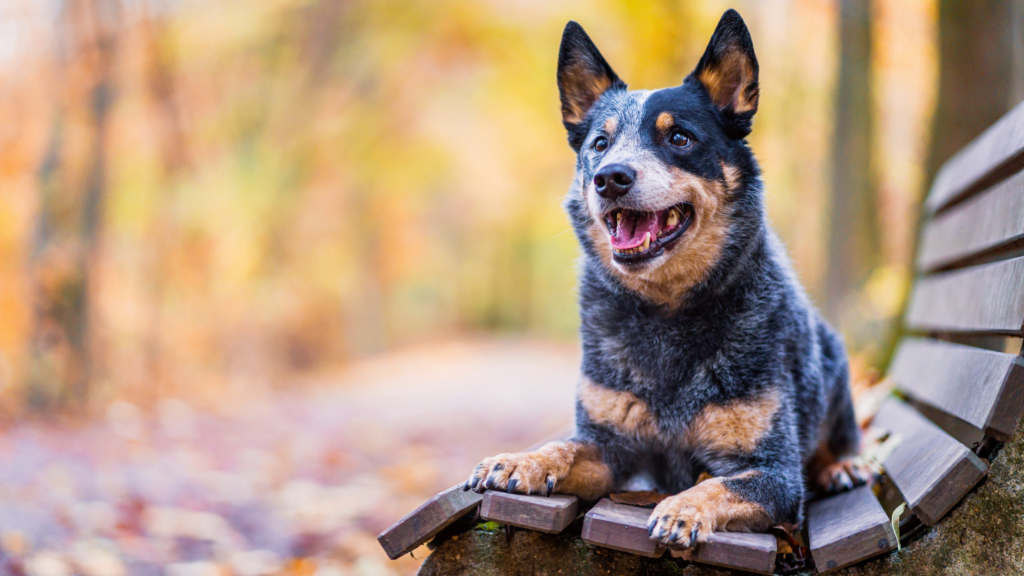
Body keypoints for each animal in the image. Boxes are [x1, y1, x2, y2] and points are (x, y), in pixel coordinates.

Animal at [466, 8, 872, 545]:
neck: (666, 311)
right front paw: (521, 460)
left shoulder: (774, 471)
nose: (610, 177)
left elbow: (717, 484)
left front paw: (683, 507)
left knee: (839, 437)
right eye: (600, 143)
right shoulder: (610, 448)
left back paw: (842, 465)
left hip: (835, 364)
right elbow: (567, 448)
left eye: (679, 137)